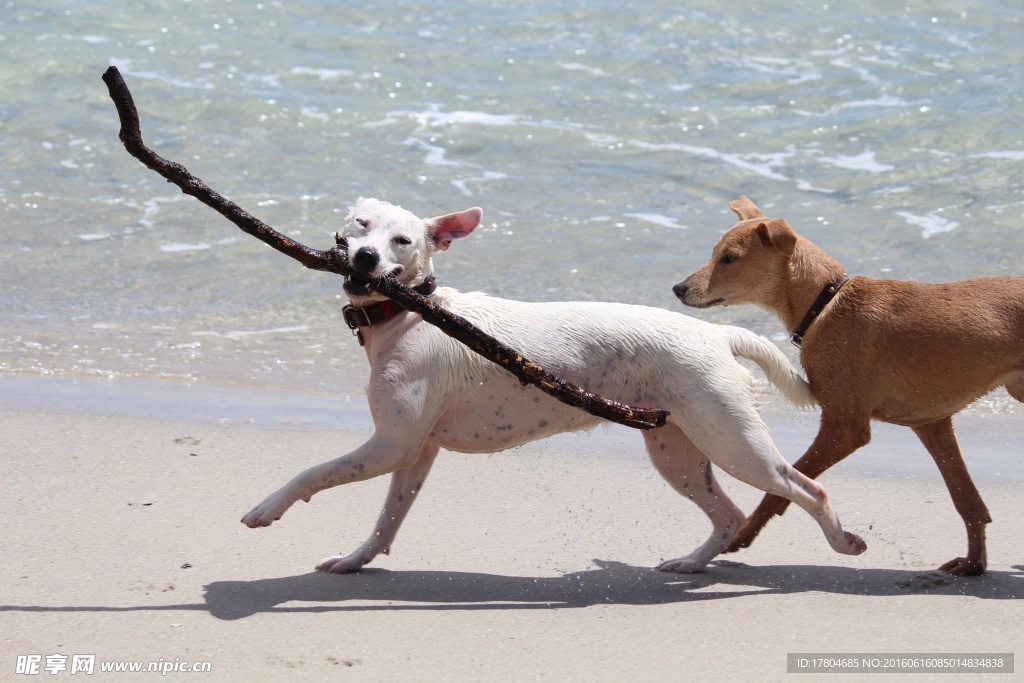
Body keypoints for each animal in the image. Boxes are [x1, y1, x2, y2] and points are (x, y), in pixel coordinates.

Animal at [239, 197, 864, 573]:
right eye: (362, 228)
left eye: (403, 242)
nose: (365, 257)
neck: (410, 313)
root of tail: (715, 333)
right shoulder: (415, 452)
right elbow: (388, 518)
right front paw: (356, 560)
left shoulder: (390, 445)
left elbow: (312, 472)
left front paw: (266, 508)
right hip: (679, 452)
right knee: (729, 515)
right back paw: (691, 565)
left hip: (733, 442)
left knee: (807, 489)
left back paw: (842, 541)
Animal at [675, 196, 1019, 577]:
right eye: (714, 253)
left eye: (729, 258)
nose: (678, 289)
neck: (825, 303)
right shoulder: (932, 424)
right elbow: (968, 501)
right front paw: (974, 563)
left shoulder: (845, 428)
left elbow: (784, 487)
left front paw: (741, 535)